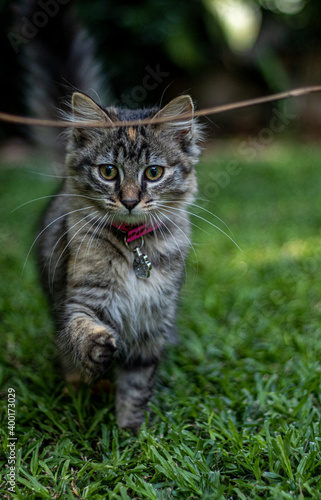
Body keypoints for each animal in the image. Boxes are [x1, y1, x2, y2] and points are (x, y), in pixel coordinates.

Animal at [18, 0, 200, 430]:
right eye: (108, 172)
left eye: (153, 173)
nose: (130, 200)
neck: (135, 250)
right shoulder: (80, 298)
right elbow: (81, 327)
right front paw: (99, 347)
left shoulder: (153, 325)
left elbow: (137, 386)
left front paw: (131, 433)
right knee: (65, 354)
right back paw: (78, 386)